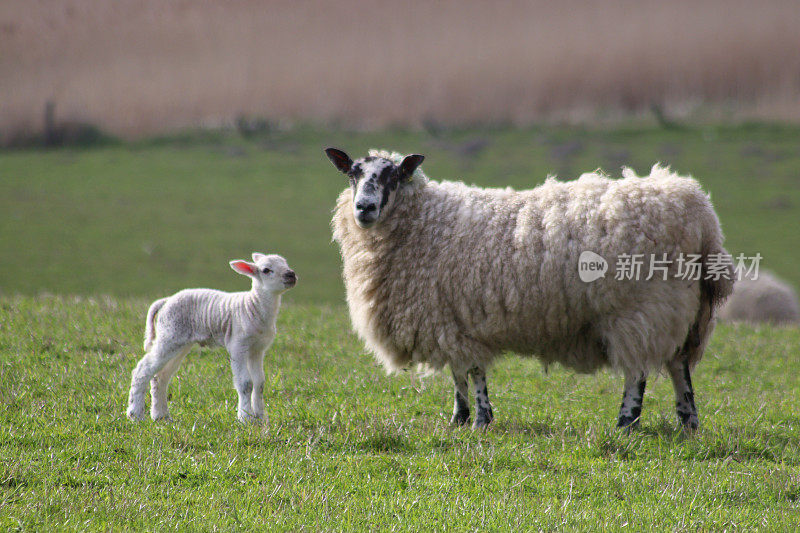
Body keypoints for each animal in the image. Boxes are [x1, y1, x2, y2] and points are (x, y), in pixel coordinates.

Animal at [126, 251, 296, 422]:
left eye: (285, 263)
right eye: (266, 270)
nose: (291, 274)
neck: (252, 306)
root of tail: (165, 301)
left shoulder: (258, 349)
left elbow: (259, 383)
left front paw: (260, 418)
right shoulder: (238, 345)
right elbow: (245, 383)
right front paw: (245, 418)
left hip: (179, 342)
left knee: (160, 377)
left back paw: (161, 416)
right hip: (168, 336)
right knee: (142, 370)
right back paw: (135, 415)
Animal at [324, 148, 732, 430]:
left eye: (393, 176)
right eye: (353, 175)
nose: (364, 207)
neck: (425, 221)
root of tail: (700, 212)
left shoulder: (451, 321)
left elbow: (472, 371)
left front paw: (479, 420)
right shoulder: (450, 320)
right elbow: (458, 374)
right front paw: (459, 418)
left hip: (642, 308)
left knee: (638, 371)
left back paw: (625, 423)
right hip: (681, 310)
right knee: (679, 365)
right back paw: (688, 422)